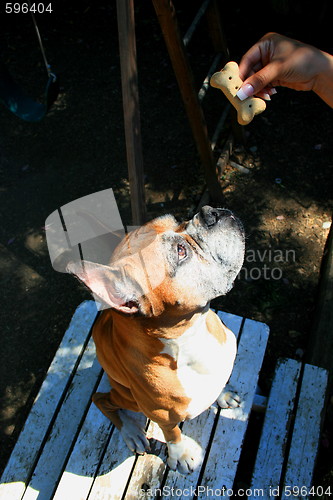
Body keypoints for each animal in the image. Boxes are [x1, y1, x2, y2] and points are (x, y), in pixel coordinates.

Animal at [67, 204, 244, 472]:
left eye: (178, 219)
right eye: (181, 251)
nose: (209, 213)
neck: (191, 337)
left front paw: (222, 393)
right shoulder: (162, 414)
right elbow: (172, 434)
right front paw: (180, 454)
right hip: (127, 397)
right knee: (101, 399)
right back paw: (131, 432)